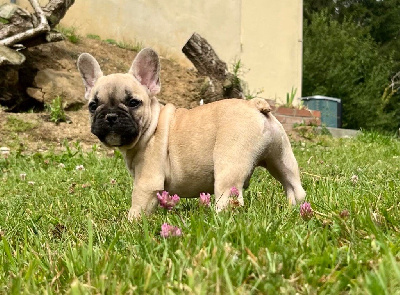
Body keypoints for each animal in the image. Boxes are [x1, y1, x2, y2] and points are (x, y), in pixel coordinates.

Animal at [76, 48, 304, 220]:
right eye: (93, 106)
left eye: (133, 102)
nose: (110, 116)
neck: (151, 125)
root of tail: (255, 105)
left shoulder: (146, 182)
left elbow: (137, 207)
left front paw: (130, 225)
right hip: (281, 158)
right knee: (293, 185)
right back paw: (297, 210)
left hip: (229, 165)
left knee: (229, 198)